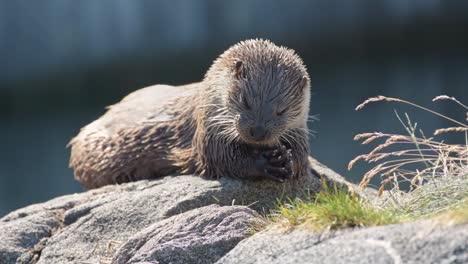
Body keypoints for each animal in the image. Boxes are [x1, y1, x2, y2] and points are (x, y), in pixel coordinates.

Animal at [68, 38, 310, 188]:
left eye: (281, 110)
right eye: (245, 101)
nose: (258, 132)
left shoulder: (298, 128)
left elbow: (302, 155)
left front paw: (289, 159)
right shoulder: (207, 129)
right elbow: (220, 158)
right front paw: (267, 163)